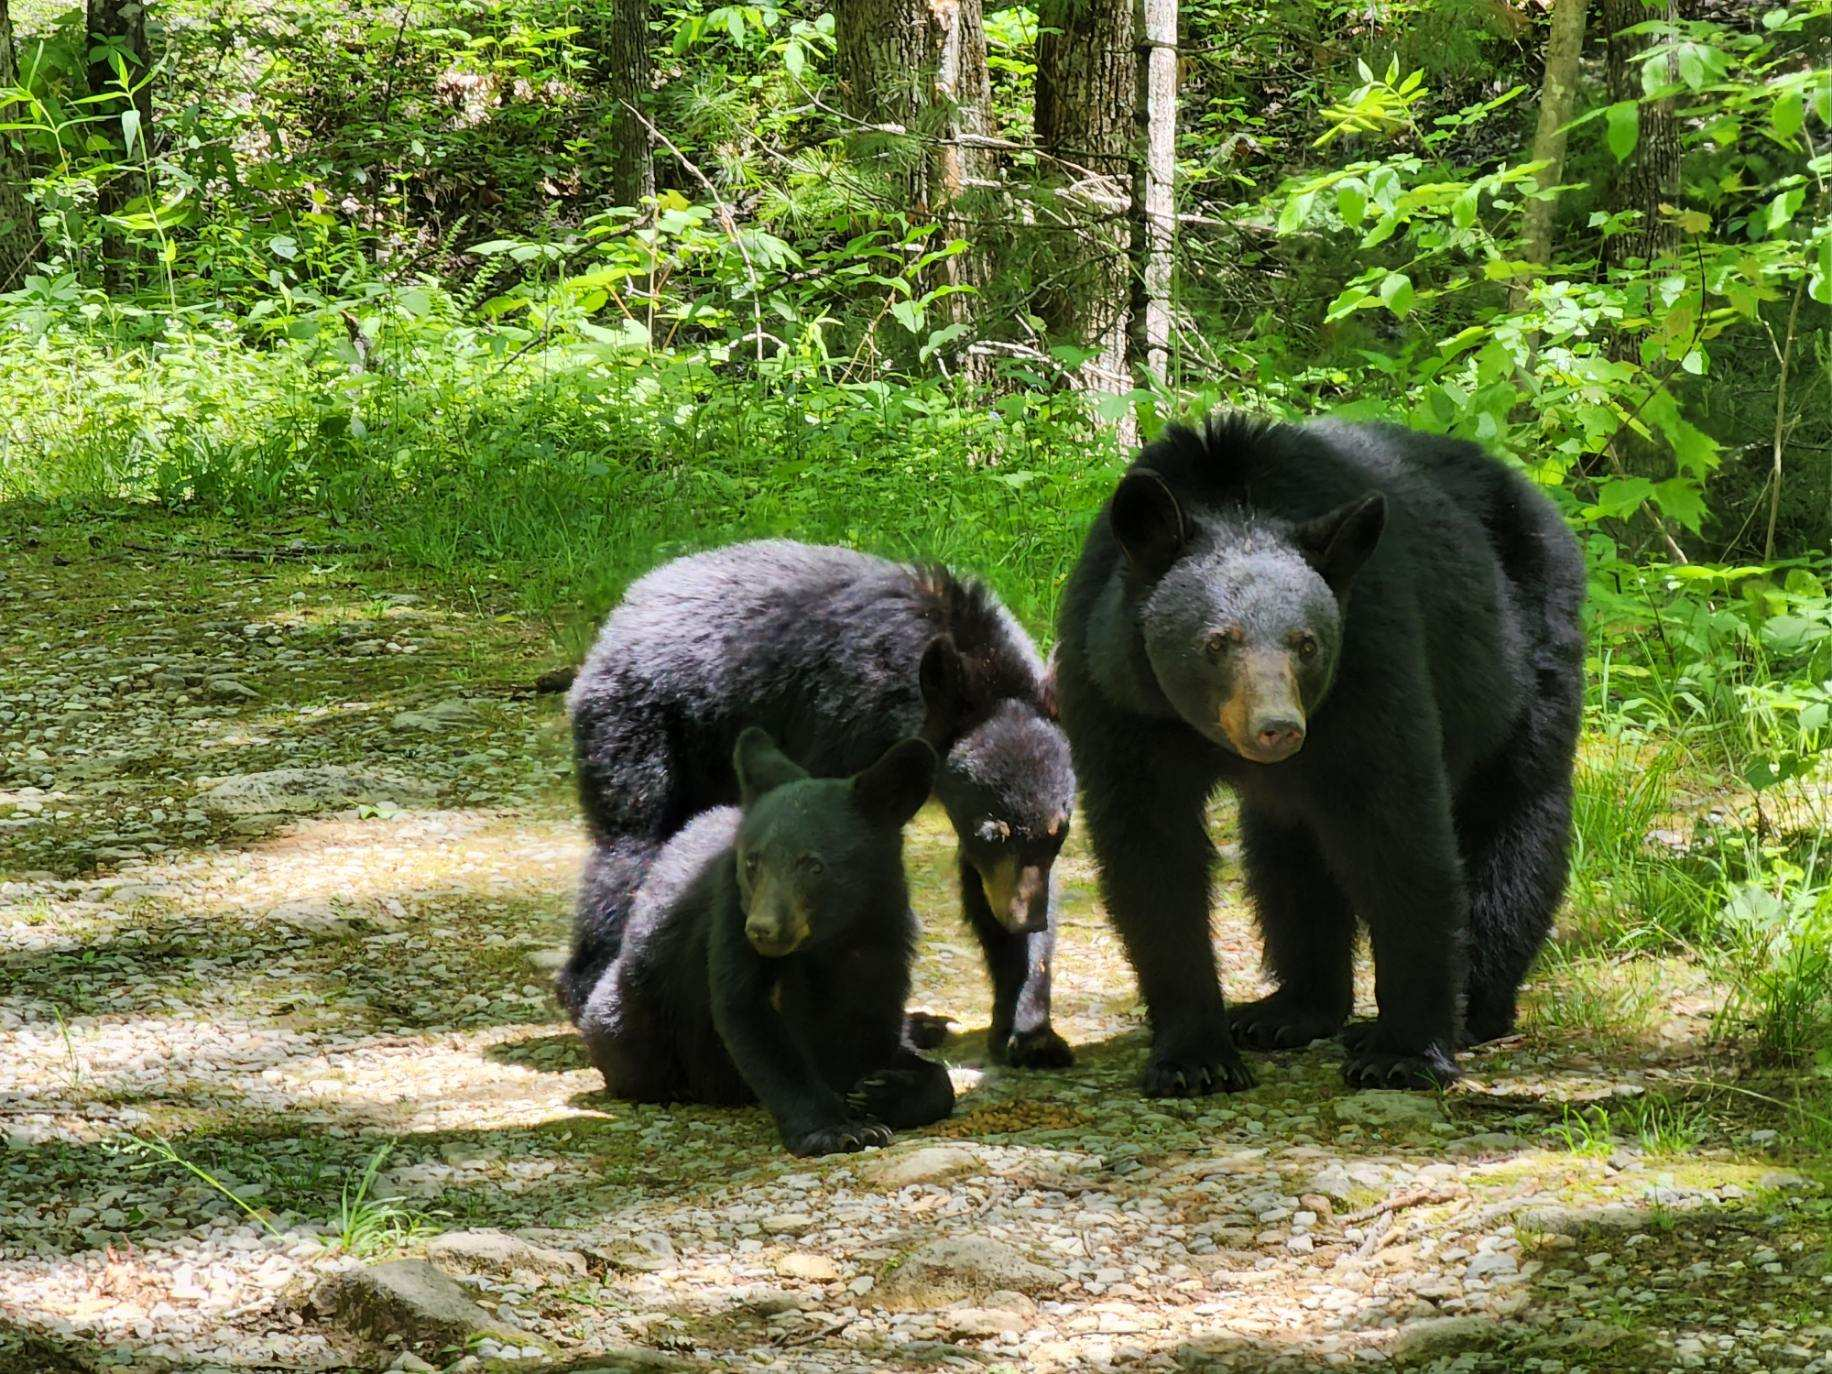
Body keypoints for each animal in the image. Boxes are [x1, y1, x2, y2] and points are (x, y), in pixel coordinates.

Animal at [556, 542, 1069, 1069]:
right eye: (993, 831)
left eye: (1060, 832)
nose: (1026, 918)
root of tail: (623, 610)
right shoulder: (847, 722)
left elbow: (983, 885)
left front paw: (1029, 1029)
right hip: (641, 724)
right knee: (628, 851)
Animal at [582, 725, 959, 1157]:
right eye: (753, 862)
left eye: (814, 866)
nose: (762, 928)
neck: (831, 939)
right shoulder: (729, 915)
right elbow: (748, 1014)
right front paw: (838, 1129)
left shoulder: (885, 929)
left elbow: (875, 1020)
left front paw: (882, 1089)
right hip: (635, 1017)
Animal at [1062, 414, 1590, 1091]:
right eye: (1216, 642)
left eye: (1306, 643)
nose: (1278, 729)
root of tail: (1529, 493)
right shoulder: (1112, 691)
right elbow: (1151, 853)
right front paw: (1192, 1059)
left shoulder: (1370, 655)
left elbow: (1397, 833)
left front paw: (1404, 1051)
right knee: (1289, 855)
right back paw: (1289, 1011)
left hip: (1528, 659)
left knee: (1516, 826)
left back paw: (1474, 1007)